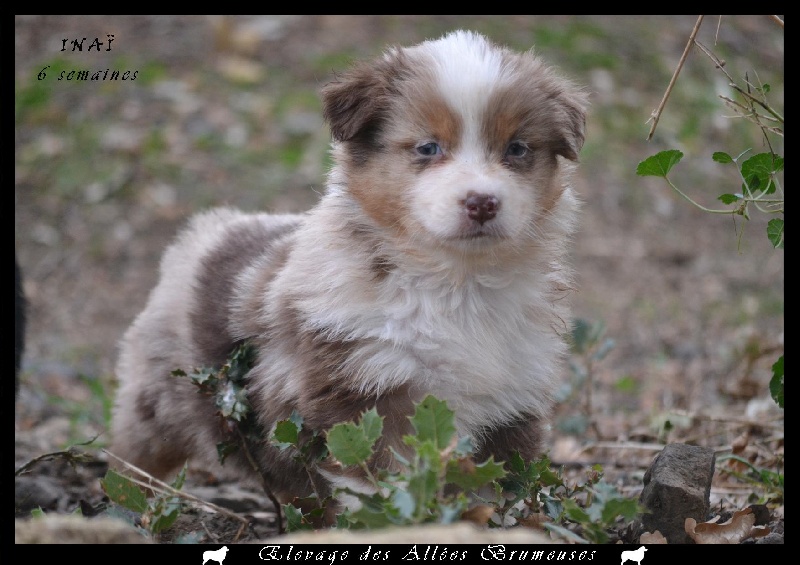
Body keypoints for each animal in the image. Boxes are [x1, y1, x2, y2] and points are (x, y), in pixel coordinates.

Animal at [109, 32, 588, 512]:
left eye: (517, 148)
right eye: (428, 148)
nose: (482, 202)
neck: (458, 283)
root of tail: (216, 225)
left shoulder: (514, 398)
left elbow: (500, 487)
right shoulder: (361, 388)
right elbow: (371, 481)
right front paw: (389, 517)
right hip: (158, 397)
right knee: (133, 450)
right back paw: (125, 499)